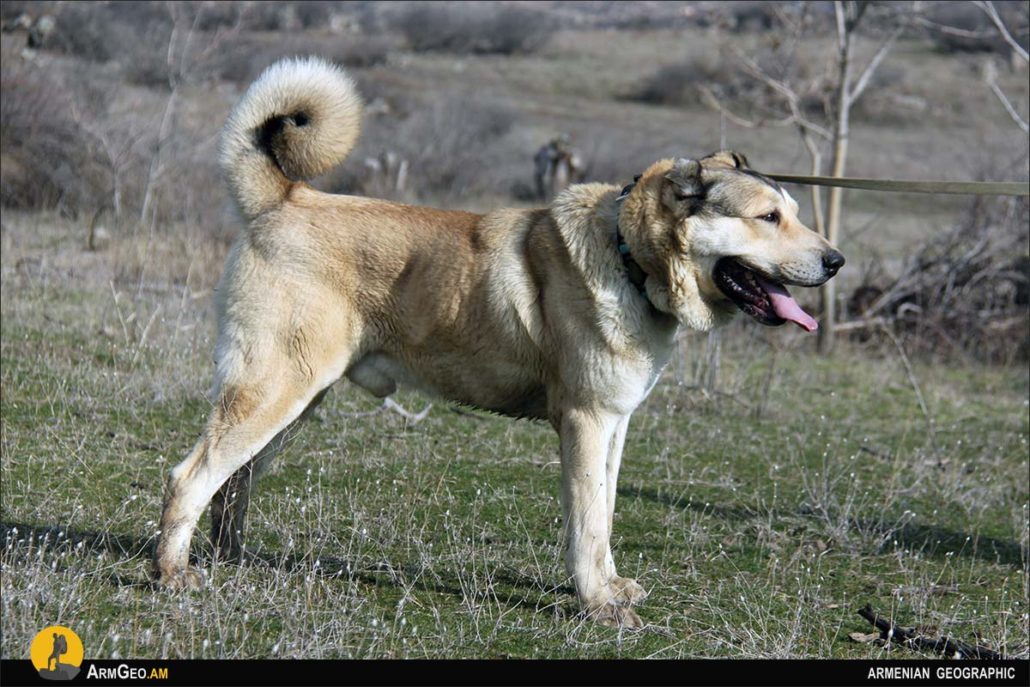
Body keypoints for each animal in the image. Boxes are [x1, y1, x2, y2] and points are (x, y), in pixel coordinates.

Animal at [154, 59, 844, 630]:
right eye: (768, 218)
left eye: (794, 212)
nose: (835, 261)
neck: (629, 256)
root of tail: (283, 198)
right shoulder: (586, 422)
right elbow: (587, 523)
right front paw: (597, 605)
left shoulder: (615, 425)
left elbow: (605, 514)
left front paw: (610, 588)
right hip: (274, 390)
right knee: (192, 475)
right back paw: (173, 575)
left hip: (296, 402)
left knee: (235, 481)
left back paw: (232, 560)